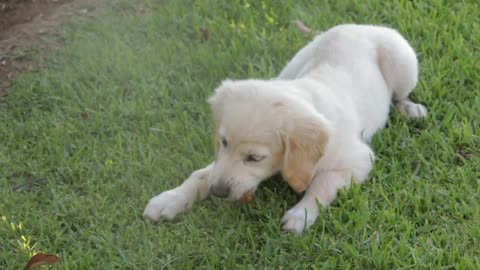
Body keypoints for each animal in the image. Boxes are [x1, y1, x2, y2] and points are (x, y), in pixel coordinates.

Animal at [143, 24, 428, 233]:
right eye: (223, 143)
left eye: (255, 157)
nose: (218, 193)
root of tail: (360, 25)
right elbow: (201, 174)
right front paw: (170, 199)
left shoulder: (358, 161)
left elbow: (323, 184)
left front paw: (301, 214)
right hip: (292, 64)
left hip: (403, 63)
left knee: (400, 95)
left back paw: (410, 109)